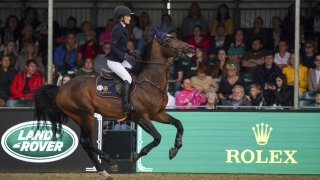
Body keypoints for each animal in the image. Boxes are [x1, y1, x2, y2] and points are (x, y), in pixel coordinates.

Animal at [33, 31, 194, 179]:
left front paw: (175, 149)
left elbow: (179, 124)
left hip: (82, 117)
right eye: (168, 40)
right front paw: (136, 155)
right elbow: (157, 137)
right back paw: (108, 161)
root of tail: (61, 88)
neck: (150, 82)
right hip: (85, 115)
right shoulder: (141, 117)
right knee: (86, 141)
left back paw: (104, 170)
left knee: (85, 142)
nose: (191, 48)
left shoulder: (157, 114)